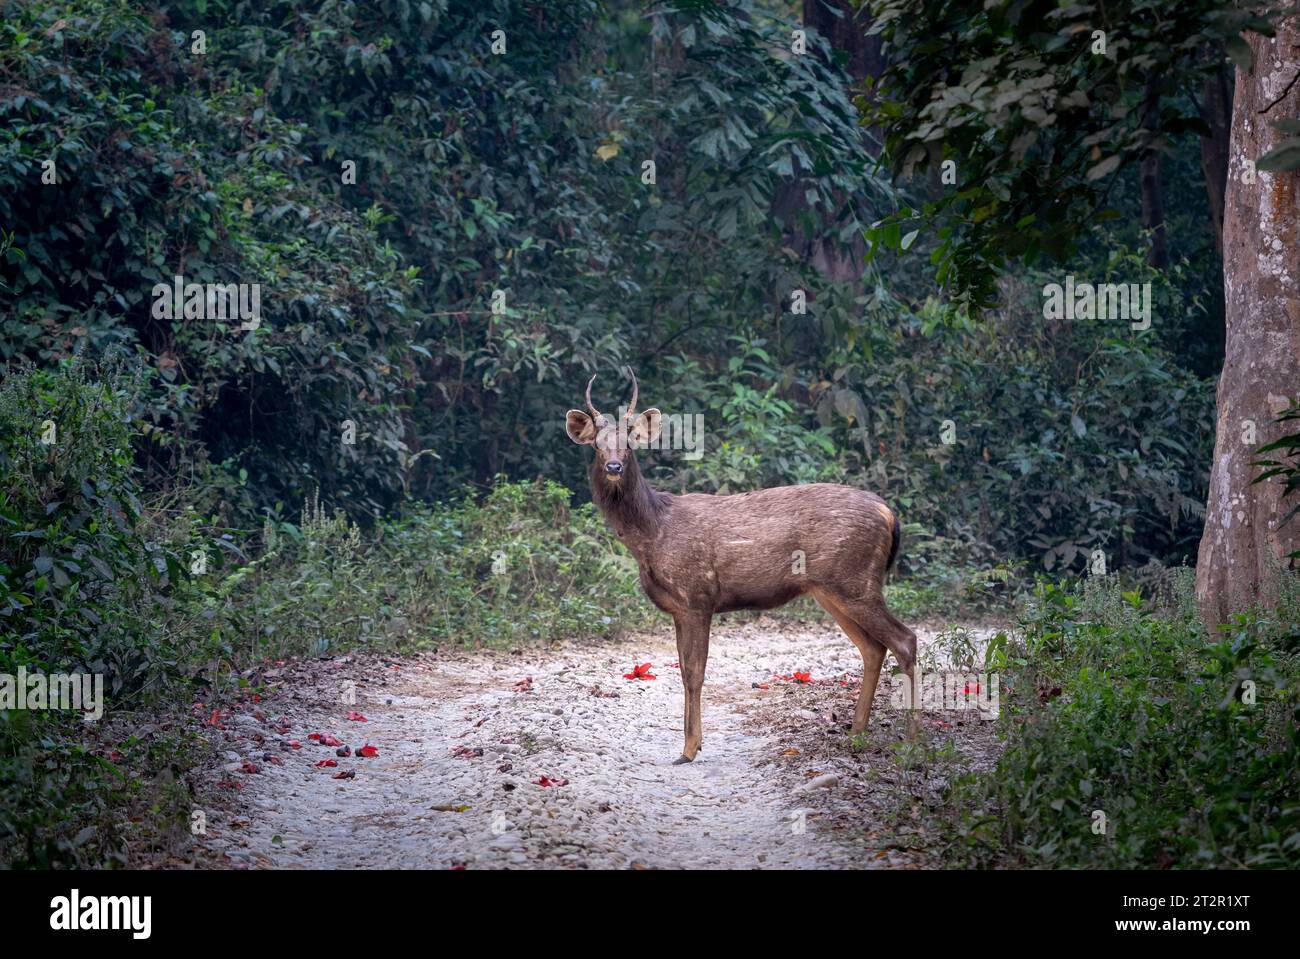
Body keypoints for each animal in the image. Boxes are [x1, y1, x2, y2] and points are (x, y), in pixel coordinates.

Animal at [564, 366, 920, 764]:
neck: (653, 534)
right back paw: (856, 733)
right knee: (873, 648)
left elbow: (694, 673)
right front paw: (691, 744)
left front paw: (689, 749)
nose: (613, 465)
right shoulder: (678, 608)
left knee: (905, 640)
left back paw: (911, 739)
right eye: (597, 444)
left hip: (856, 579)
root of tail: (888, 513)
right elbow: (683, 670)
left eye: (629, 443)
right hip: (832, 589)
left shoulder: (698, 595)